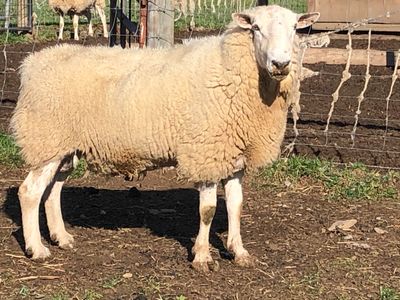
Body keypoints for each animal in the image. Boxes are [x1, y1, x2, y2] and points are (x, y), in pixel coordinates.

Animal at [10, 5, 320, 272]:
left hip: (64, 146)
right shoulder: (205, 151)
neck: (229, 69)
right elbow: (208, 210)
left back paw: (61, 238)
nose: (280, 63)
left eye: (295, 28)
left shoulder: (233, 154)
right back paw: (37, 249)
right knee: (30, 192)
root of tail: (31, 63)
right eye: (255, 27)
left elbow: (236, 205)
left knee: (53, 190)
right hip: (46, 139)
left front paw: (238, 251)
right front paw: (202, 257)